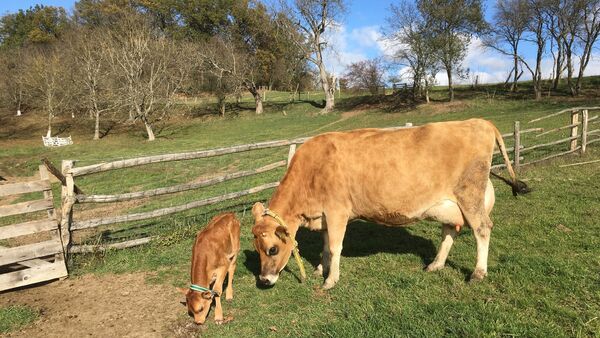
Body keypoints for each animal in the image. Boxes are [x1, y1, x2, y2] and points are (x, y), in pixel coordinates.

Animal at [251, 117, 528, 290]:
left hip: (469, 195)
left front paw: (330, 280)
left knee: (482, 228)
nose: (263, 280)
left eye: (272, 249)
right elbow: (325, 246)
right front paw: (321, 269)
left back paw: (478, 273)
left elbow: (335, 246)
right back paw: (436, 264)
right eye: (256, 249)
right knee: (450, 231)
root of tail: (480, 122)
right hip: (449, 204)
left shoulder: (337, 210)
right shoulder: (325, 216)